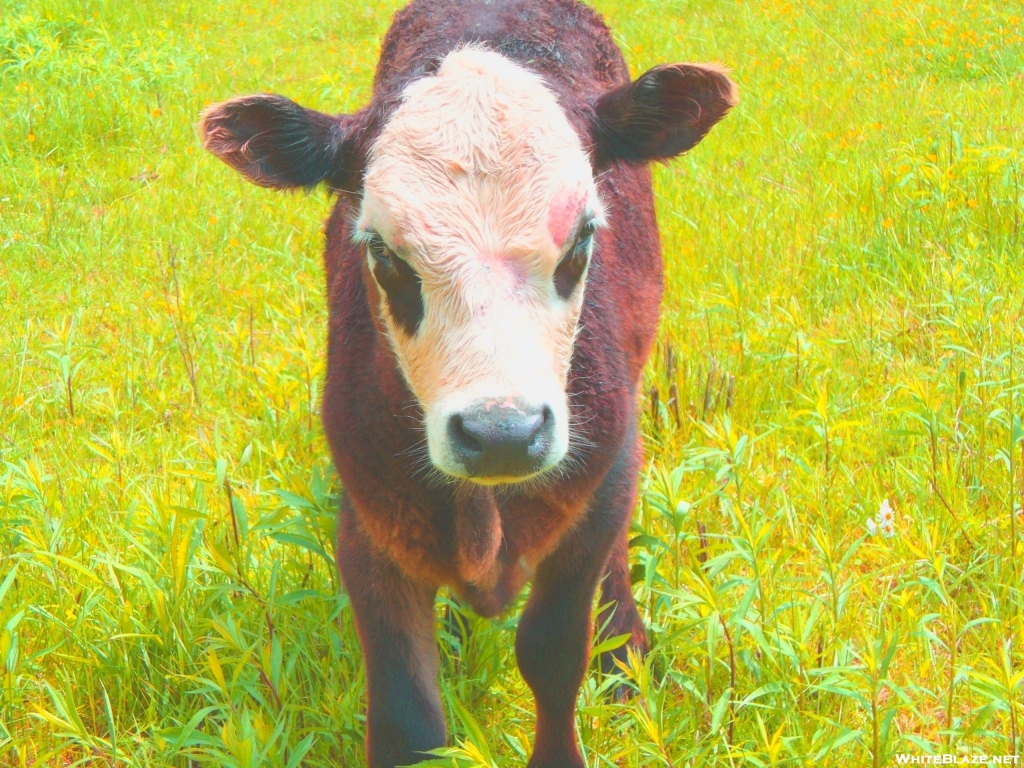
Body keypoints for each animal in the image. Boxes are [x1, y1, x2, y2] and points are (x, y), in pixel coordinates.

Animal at [199, 1, 733, 768]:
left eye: (581, 240)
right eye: (383, 252)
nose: (502, 434)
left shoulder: (602, 479)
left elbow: (553, 650)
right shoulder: (369, 520)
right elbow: (408, 717)